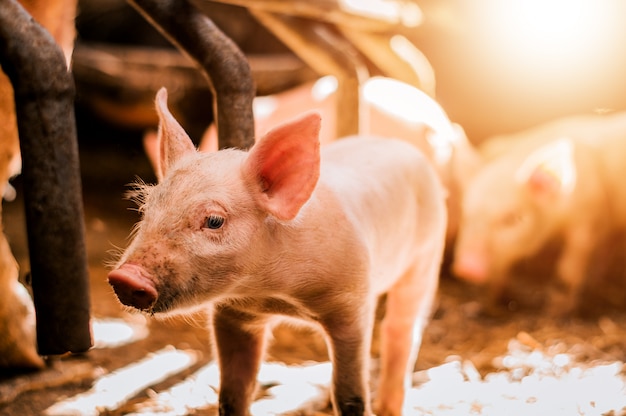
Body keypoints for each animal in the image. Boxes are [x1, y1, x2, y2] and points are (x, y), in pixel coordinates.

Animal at [109, 87, 446, 412]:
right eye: (147, 208)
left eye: (214, 220)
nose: (126, 277)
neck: (273, 292)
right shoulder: (233, 315)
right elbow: (233, 394)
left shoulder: (352, 304)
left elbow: (351, 397)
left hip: (426, 255)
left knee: (401, 330)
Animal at [450, 110, 624, 316]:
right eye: (466, 215)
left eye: (513, 218)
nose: (466, 268)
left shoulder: (589, 217)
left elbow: (571, 264)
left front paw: (555, 311)